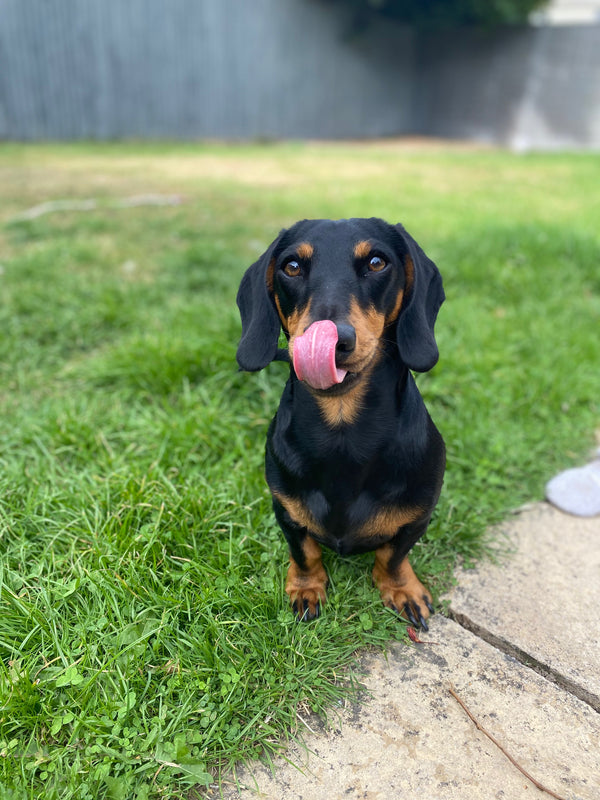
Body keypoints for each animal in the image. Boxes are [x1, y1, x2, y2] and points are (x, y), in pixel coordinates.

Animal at [237, 219, 442, 632]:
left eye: (377, 262)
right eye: (291, 266)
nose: (334, 342)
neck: (343, 435)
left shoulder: (418, 517)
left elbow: (392, 556)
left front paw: (402, 589)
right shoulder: (285, 511)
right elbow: (305, 553)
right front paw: (305, 587)